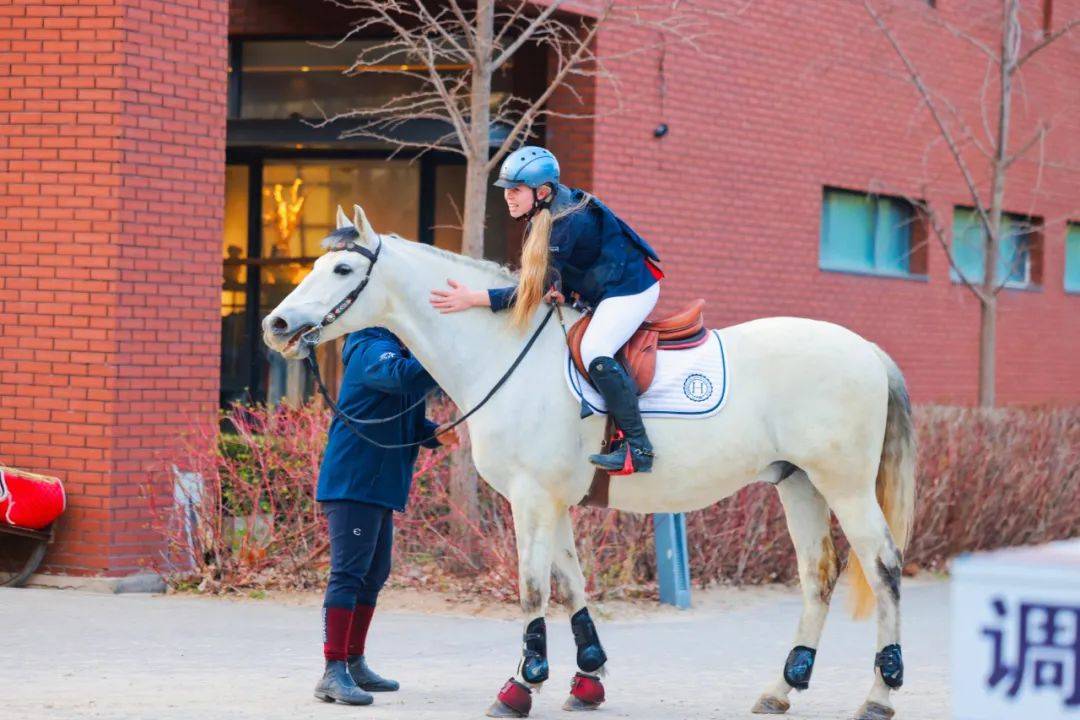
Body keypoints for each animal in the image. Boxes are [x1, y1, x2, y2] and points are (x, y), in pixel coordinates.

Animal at [262, 205, 916, 720]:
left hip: (845, 487)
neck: (506, 351)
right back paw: (782, 688)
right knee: (817, 576)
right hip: (799, 484)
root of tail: (866, 349)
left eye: (342, 270)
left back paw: (879, 694)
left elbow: (532, 589)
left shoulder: (531, 499)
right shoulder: (552, 500)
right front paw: (587, 678)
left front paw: (519, 687)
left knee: (883, 569)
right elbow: (571, 582)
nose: (276, 324)